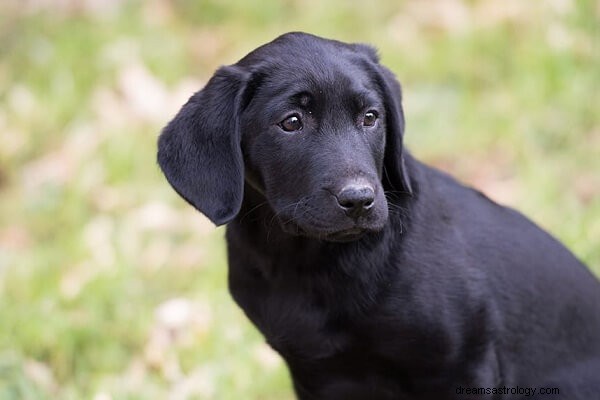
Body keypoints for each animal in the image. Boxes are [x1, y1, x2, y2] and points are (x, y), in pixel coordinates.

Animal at [157, 32, 600, 398]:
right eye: (291, 123)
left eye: (370, 117)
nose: (359, 200)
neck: (309, 263)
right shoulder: (316, 374)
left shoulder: (464, 366)